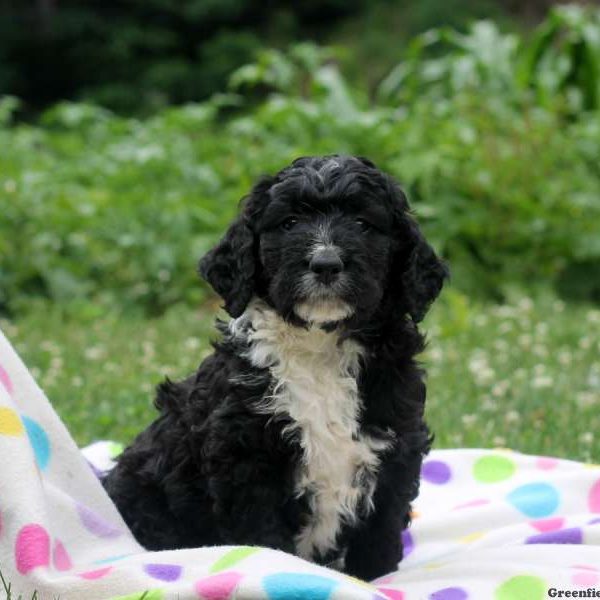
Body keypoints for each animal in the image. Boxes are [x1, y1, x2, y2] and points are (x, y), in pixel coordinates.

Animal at [103, 155, 448, 580]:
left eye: (363, 223)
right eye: (289, 223)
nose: (326, 263)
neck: (319, 345)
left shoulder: (396, 447)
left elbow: (380, 533)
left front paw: (374, 580)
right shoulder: (245, 460)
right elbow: (263, 538)